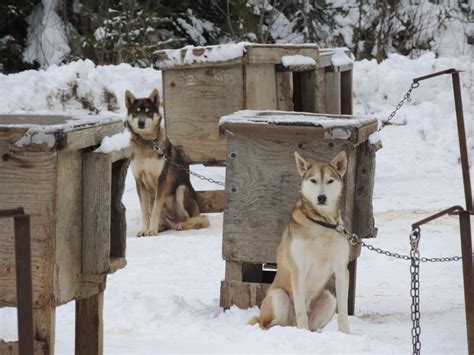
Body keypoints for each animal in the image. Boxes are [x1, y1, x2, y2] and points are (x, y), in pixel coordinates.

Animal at [125, 89, 208, 236]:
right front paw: (144, 229)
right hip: (152, 196)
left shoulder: (161, 180)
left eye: (148, 112)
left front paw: (151, 230)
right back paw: (161, 226)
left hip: (181, 189)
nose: (141, 123)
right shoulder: (140, 182)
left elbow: (155, 210)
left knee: (193, 219)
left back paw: (180, 225)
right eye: (136, 112)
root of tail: (172, 221)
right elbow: (145, 212)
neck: (147, 144)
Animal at [250, 152, 350, 336]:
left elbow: (344, 310)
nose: (321, 197)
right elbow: (301, 310)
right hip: (279, 297)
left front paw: (346, 334)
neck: (321, 223)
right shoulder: (298, 270)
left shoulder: (341, 270)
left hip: (328, 299)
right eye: (313, 180)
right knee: (266, 323)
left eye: (330, 181)